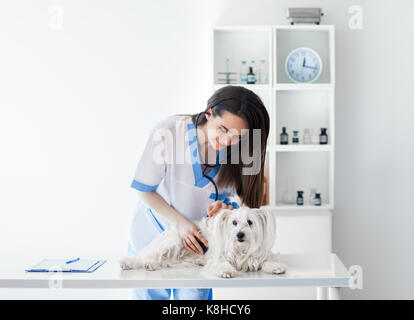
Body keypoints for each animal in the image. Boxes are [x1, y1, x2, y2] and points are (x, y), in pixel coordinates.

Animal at [119, 205, 286, 278]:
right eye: (234, 223)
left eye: (250, 222)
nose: (239, 235)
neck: (242, 248)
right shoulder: (219, 257)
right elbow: (222, 264)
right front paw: (226, 271)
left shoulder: (259, 255)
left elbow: (267, 260)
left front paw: (276, 267)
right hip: (171, 243)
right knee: (146, 256)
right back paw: (136, 263)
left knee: (163, 261)